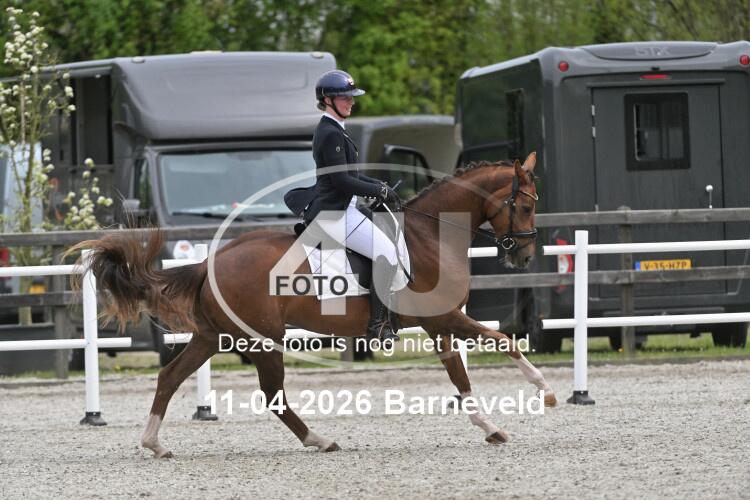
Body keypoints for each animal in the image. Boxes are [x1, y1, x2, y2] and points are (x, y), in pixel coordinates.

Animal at [72, 152, 556, 458]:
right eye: (526, 207)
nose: (523, 257)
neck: (429, 235)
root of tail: (213, 261)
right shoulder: (443, 316)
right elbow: (502, 342)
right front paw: (541, 393)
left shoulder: (439, 324)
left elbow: (463, 374)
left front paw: (495, 425)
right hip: (262, 340)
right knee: (273, 395)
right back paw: (319, 440)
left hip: (213, 336)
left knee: (170, 377)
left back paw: (154, 443)